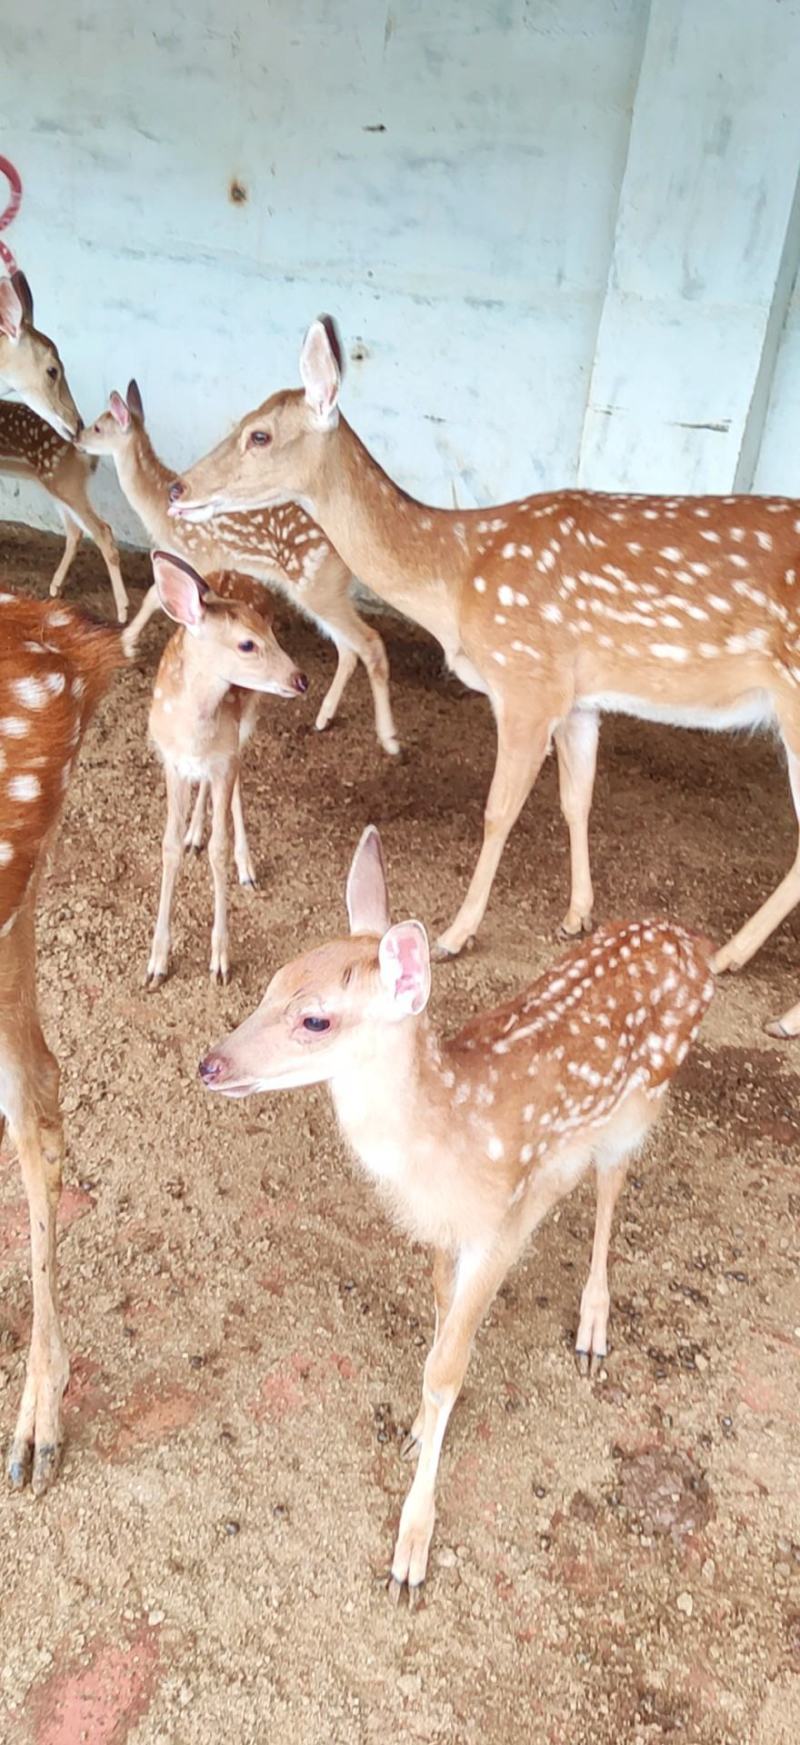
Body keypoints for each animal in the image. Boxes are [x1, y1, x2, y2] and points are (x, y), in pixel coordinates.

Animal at [78, 383, 400, 756]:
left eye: (98, 427)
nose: (75, 437)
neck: (157, 510)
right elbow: (154, 595)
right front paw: (130, 640)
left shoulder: (202, 555)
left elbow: (158, 597)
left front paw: (128, 641)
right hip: (321, 588)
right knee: (348, 648)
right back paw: (323, 718)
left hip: (316, 583)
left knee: (368, 642)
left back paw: (389, 739)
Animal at [144, 551, 309, 990]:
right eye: (247, 644)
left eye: (271, 632)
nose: (301, 679)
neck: (193, 733)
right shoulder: (171, 761)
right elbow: (167, 847)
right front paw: (156, 962)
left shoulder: (225, 756)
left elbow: (219, 848)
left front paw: (220, 959)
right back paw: (194, 833)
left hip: (247, 719)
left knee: (236, 786)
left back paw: (245, 864)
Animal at [169, 315, 800, 1039]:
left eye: (260, 434)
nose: (178, 488)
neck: (458, 575)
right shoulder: (576, 696)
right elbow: (576, 798)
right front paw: (577, 914)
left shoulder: (525, 677)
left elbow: (498, 810)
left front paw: (454, 932)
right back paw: (730, 956)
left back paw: (776, 1008)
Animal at [199, 824, 715, 1601]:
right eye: (270, 984)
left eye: (315, 1017)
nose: (211, 1064)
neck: (446, 1138)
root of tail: (692, 942)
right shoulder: (442, 1229)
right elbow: (440, 1324)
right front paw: (417, 1425)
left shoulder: (498, 1227)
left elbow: (447, 1367)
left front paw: (411, 1545)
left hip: (645, 1097)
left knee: (612, 1182)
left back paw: (594, 1324)